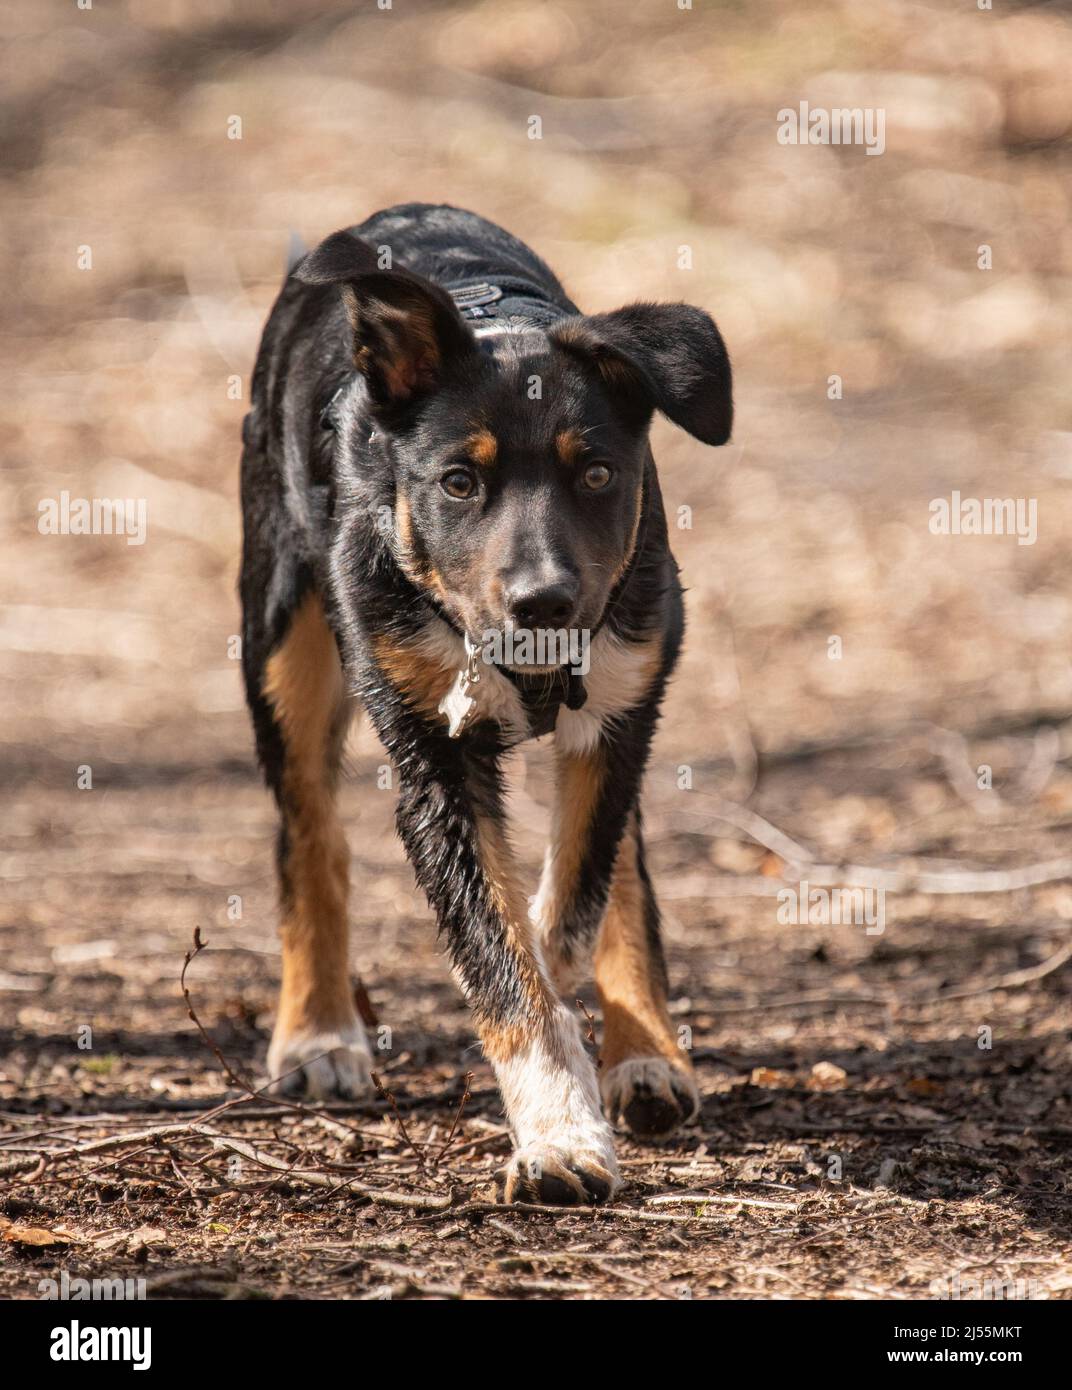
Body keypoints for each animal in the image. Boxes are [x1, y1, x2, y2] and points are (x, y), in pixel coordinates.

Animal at [239, 201, 734, 1200]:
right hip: (279, 640)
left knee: (625, 856)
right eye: (458, 482)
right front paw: (561, 1133)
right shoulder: (435, 762)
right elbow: (501, 955)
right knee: (310, 834)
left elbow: (575, 899)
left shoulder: (622, 703)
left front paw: (581, 1029)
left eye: (597, 474)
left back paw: (645, 1051)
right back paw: (318, 1031)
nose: (543, 601)